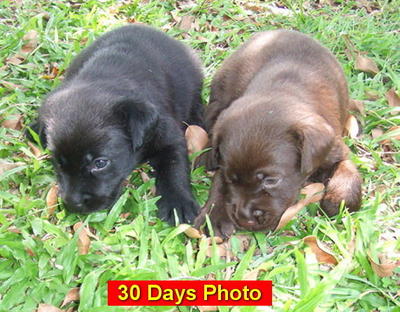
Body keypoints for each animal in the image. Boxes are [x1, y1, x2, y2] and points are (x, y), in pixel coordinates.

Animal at [30, 24, 203, 224]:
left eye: (100, 163)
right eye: (58, 161)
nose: (73, 204)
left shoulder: (169, 137)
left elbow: (175, 168)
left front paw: (178, 203)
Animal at [195, 30, 362, 238]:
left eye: (271, 180)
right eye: (231, 178)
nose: (244, 219)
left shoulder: (334, 149)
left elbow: (348, 170)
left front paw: (338, 200)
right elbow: (219, 182)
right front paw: (213, 215)